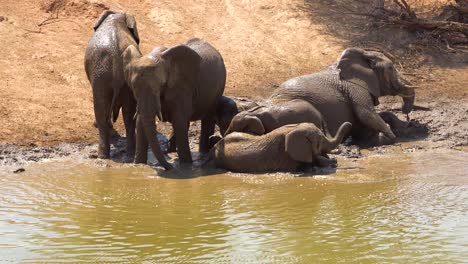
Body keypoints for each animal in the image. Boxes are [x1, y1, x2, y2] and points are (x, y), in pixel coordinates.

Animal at [84, 10, 140, 159]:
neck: (116, 17)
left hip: (101, 76)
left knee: (101, 110)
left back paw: (102, 155)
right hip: (126, 80)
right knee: (128, 115)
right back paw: (129, 155)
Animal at [122, 37, 227, 169]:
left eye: (159, 86)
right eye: (134, 88)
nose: (169, 167)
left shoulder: (182, 86)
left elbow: (179, 120)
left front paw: (185, 166)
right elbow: (141, 122)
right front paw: (139, 164)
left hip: (217, 88)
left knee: (207, 117)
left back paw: (202, 152)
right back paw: (170, 150)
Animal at [268, 48, 414, 145]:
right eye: (390, 68)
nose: (405, 111)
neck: (365, 54)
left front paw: (402, 127)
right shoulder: (355, 87)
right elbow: (367, 114)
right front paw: (392, 137)